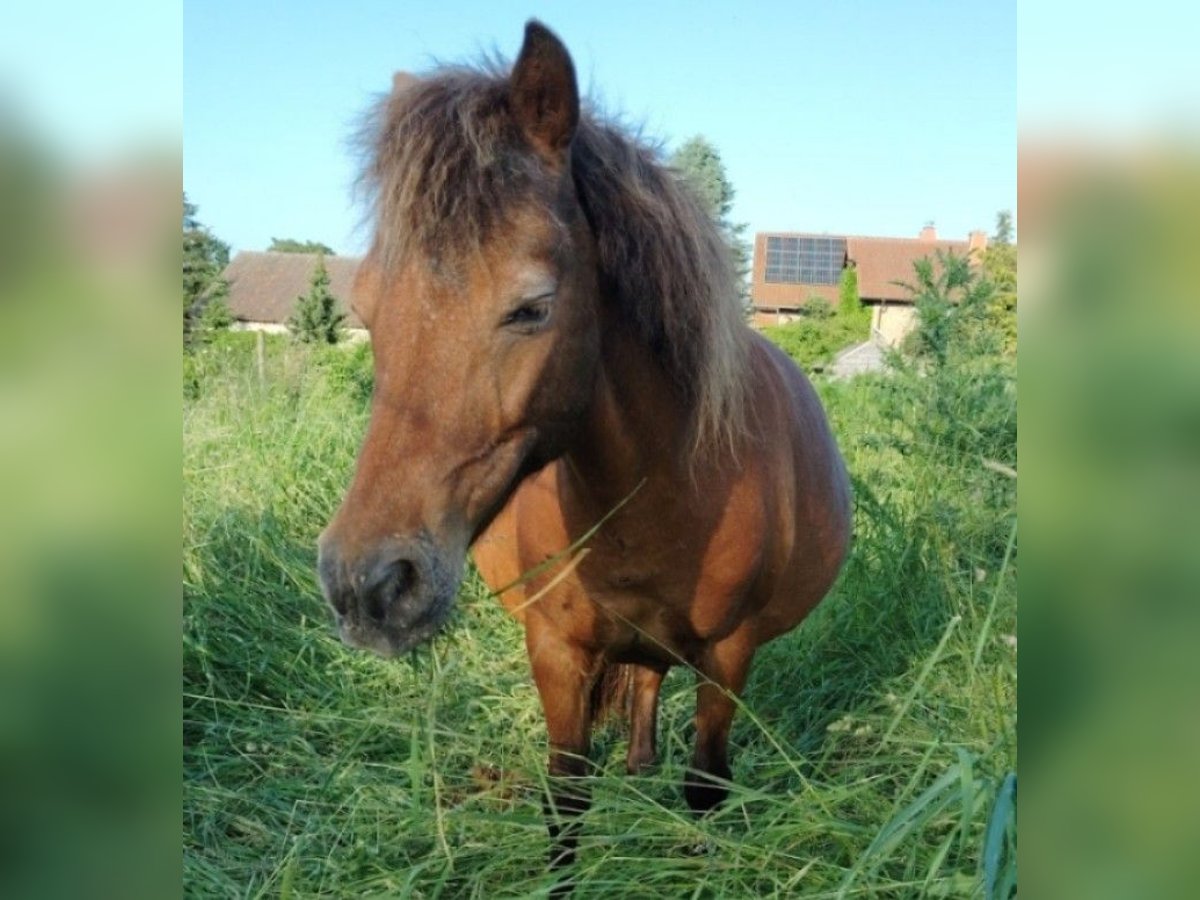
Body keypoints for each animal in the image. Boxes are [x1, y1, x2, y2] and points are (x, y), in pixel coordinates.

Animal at [314, 19, 849, 873]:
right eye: (365, 306)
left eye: (532, 308)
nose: (367, 585)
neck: (668, 488)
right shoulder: (557, 652)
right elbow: (565, 804)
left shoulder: (731, 657)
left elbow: (707, 789)